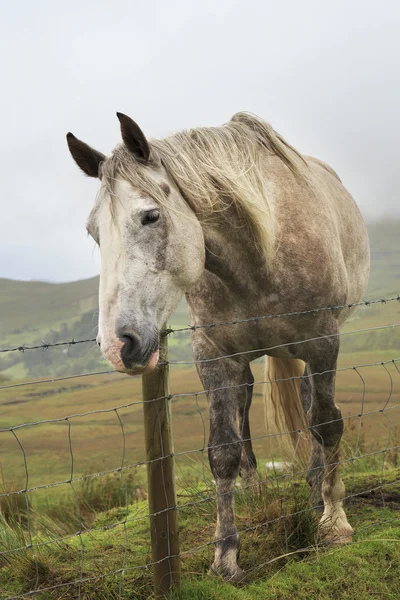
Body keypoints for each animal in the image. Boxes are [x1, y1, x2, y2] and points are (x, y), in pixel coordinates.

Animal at [65, 110, 368, 580]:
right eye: (94, 232)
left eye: (150, 216)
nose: (117, 344)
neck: (260, 256)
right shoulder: (213, 355)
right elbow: (223, 450)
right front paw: (225, 555)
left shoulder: (322, 341)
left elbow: (327, 423)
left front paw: (335, 522)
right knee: (246, 404)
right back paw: (255, 487)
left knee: (311, 404)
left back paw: (315, 484)